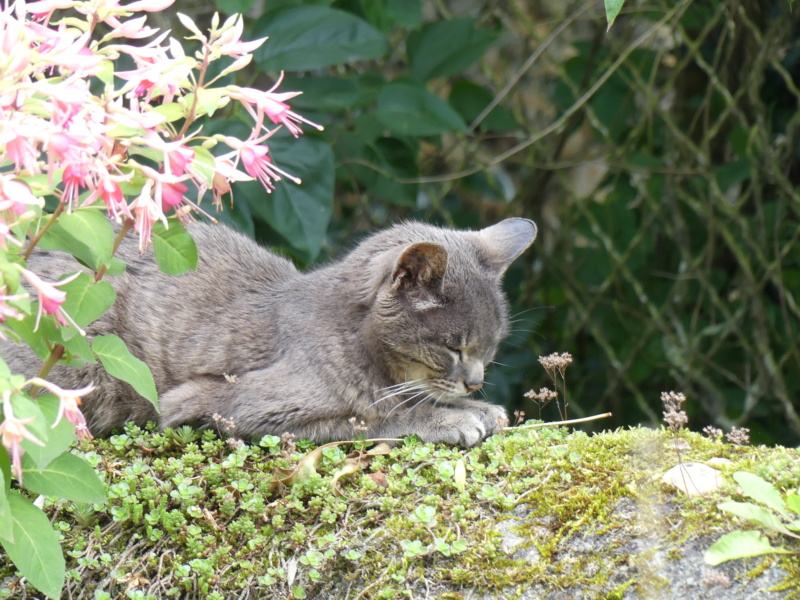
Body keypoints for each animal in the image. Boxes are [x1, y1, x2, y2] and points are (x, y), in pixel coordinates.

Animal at [4, 217, 536, 446]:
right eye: (452, 347)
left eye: (490, 349)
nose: (476, 382)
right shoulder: (229, 405)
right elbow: (369, 418)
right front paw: (450, 419)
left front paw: (480, 409)